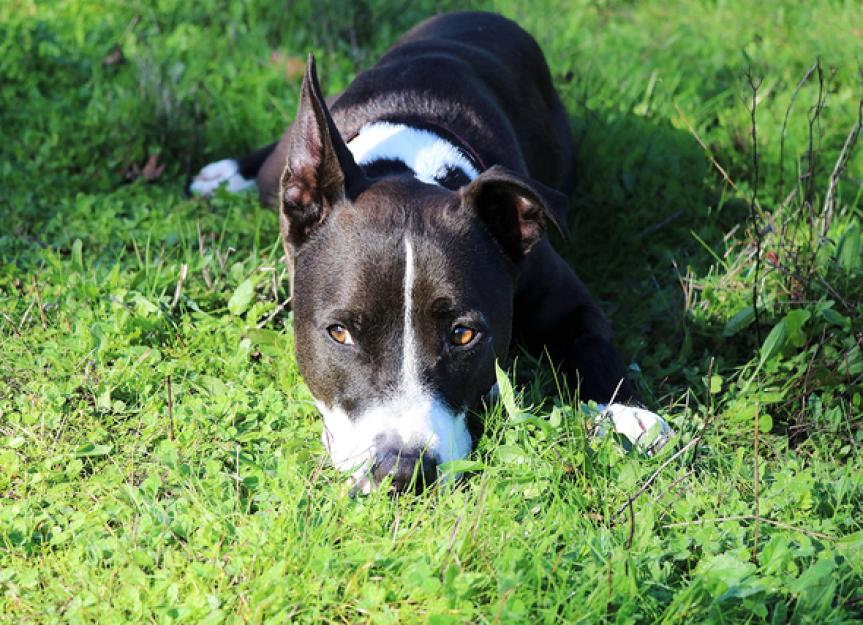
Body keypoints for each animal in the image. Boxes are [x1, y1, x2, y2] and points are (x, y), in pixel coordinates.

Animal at [192, 11, 672, 492]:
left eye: (463, 335)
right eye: (339, 333)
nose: (402, 470)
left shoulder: (563, 297)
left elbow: (592, 342)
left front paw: (629, 413)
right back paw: (226, 173)